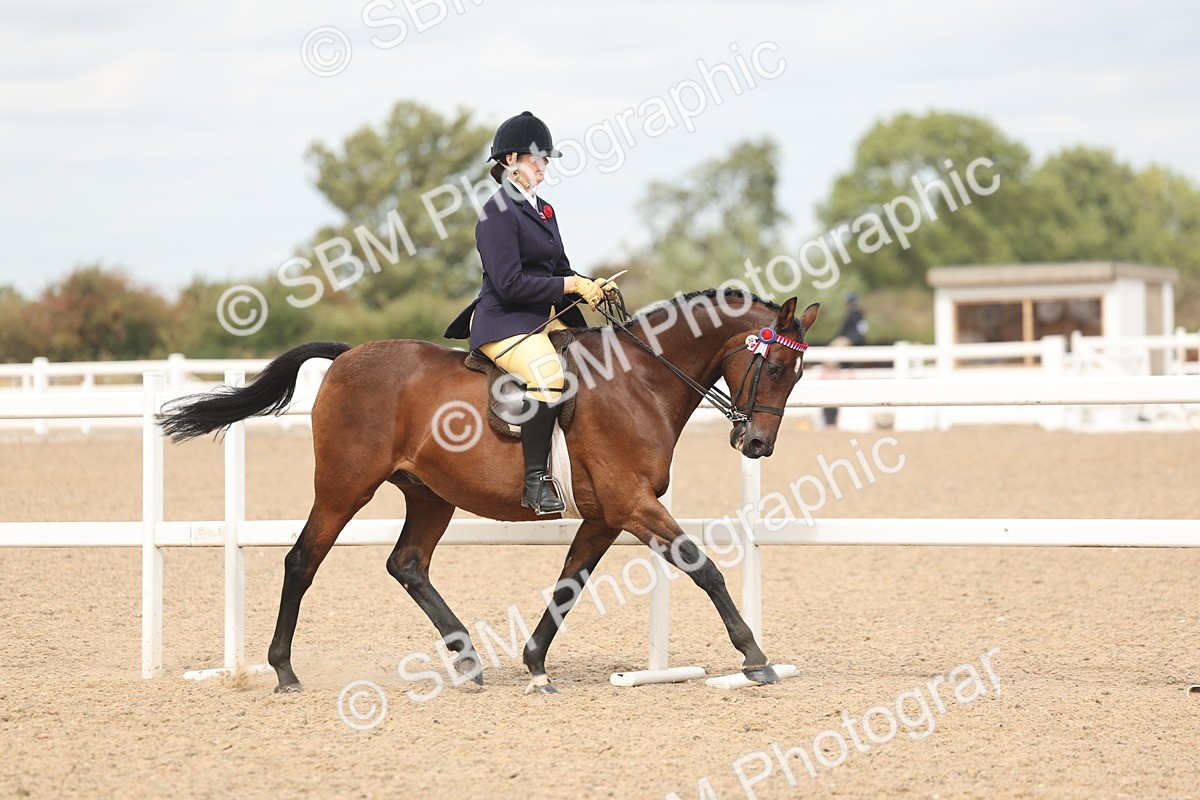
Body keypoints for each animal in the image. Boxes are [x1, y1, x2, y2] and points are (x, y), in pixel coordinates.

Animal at [157, 288, 820, 694]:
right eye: (776, 368)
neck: (641, 380)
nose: (757, 444)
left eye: (797, 374)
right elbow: (703, 567)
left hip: (430, 495)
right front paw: (755, 658)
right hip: (345, 487)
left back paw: (469, 659)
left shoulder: (606, 515)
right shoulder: (633, 504)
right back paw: (285, 671)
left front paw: (535, 666)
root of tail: (347, 356)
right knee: (303, 560)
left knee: (408, 565)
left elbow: (569, 585)